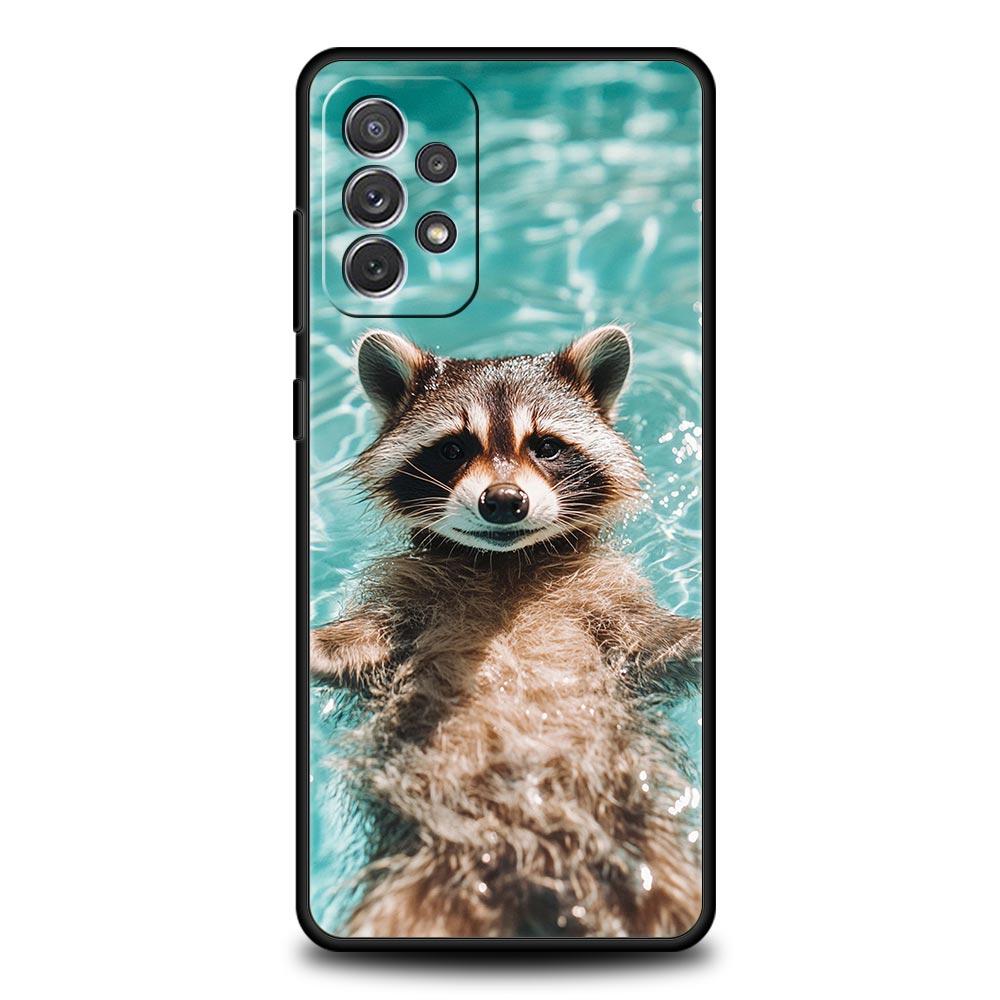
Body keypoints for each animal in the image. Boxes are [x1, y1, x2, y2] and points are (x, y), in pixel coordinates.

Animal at [311, 325, 703, 938]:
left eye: (545, 446)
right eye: (453, 448)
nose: (503, 502)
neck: (504, 565)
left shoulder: (609, 603)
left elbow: (653, 643)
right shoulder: (405, 602)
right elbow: (361, 643)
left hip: (651, 859)